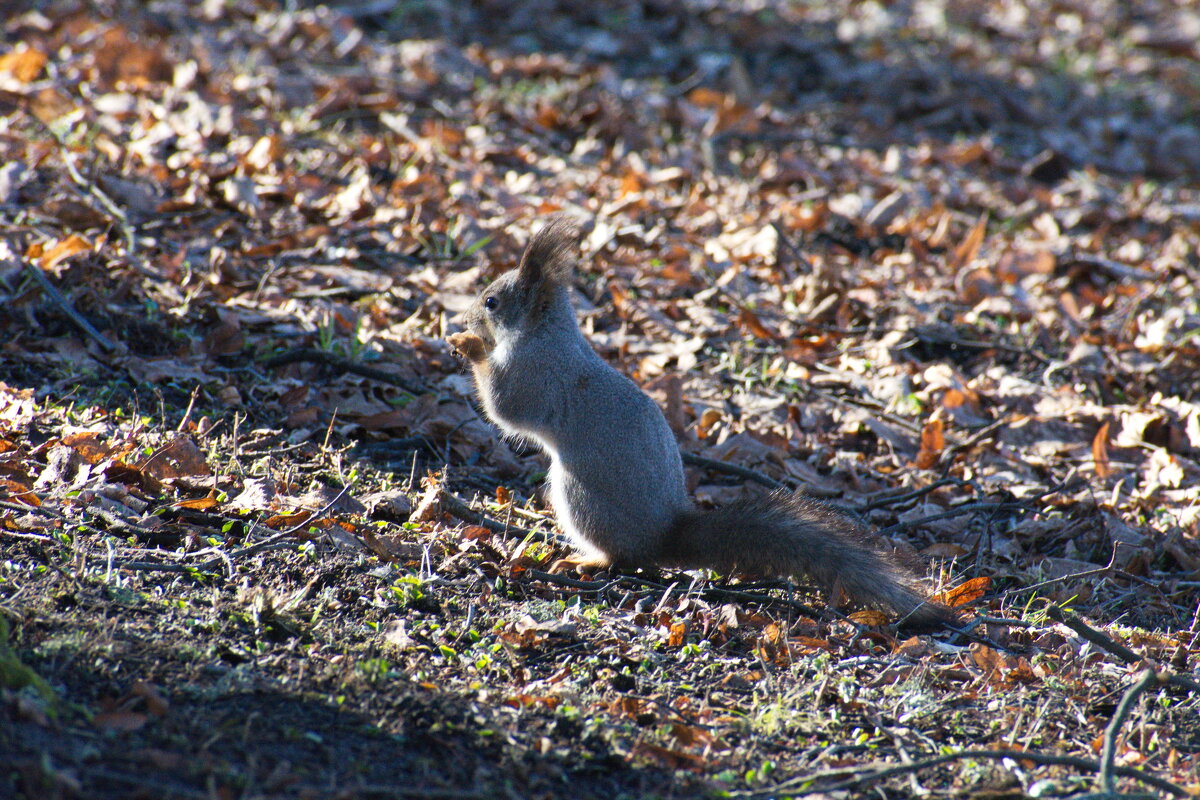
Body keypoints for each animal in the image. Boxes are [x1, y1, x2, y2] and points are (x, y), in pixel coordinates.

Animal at [451, 215, 955, 628]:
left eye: (492, 302)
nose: (466, 317)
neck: (543, 333)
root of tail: (662, 535)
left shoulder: (534, 374)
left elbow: (506, 408)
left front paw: (470, 346)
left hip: (579, 494)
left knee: (622, 557)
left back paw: (586, 562)